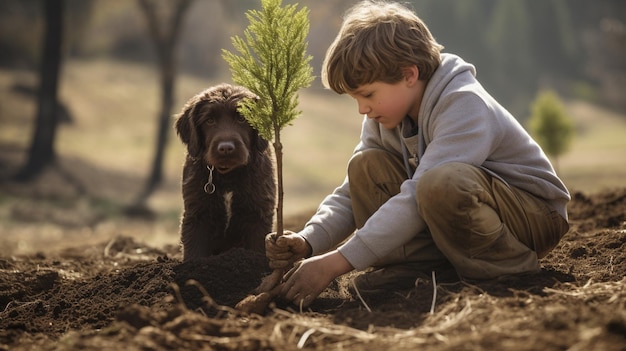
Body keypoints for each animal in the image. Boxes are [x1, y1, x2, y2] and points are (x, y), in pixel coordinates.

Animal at [174, 84, 274, 262]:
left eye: (242, 119)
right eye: (209, 121)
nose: (226, 148)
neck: (228, 175)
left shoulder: (258, 213)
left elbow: (258, 249)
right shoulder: (197, 214)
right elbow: (194, 252)